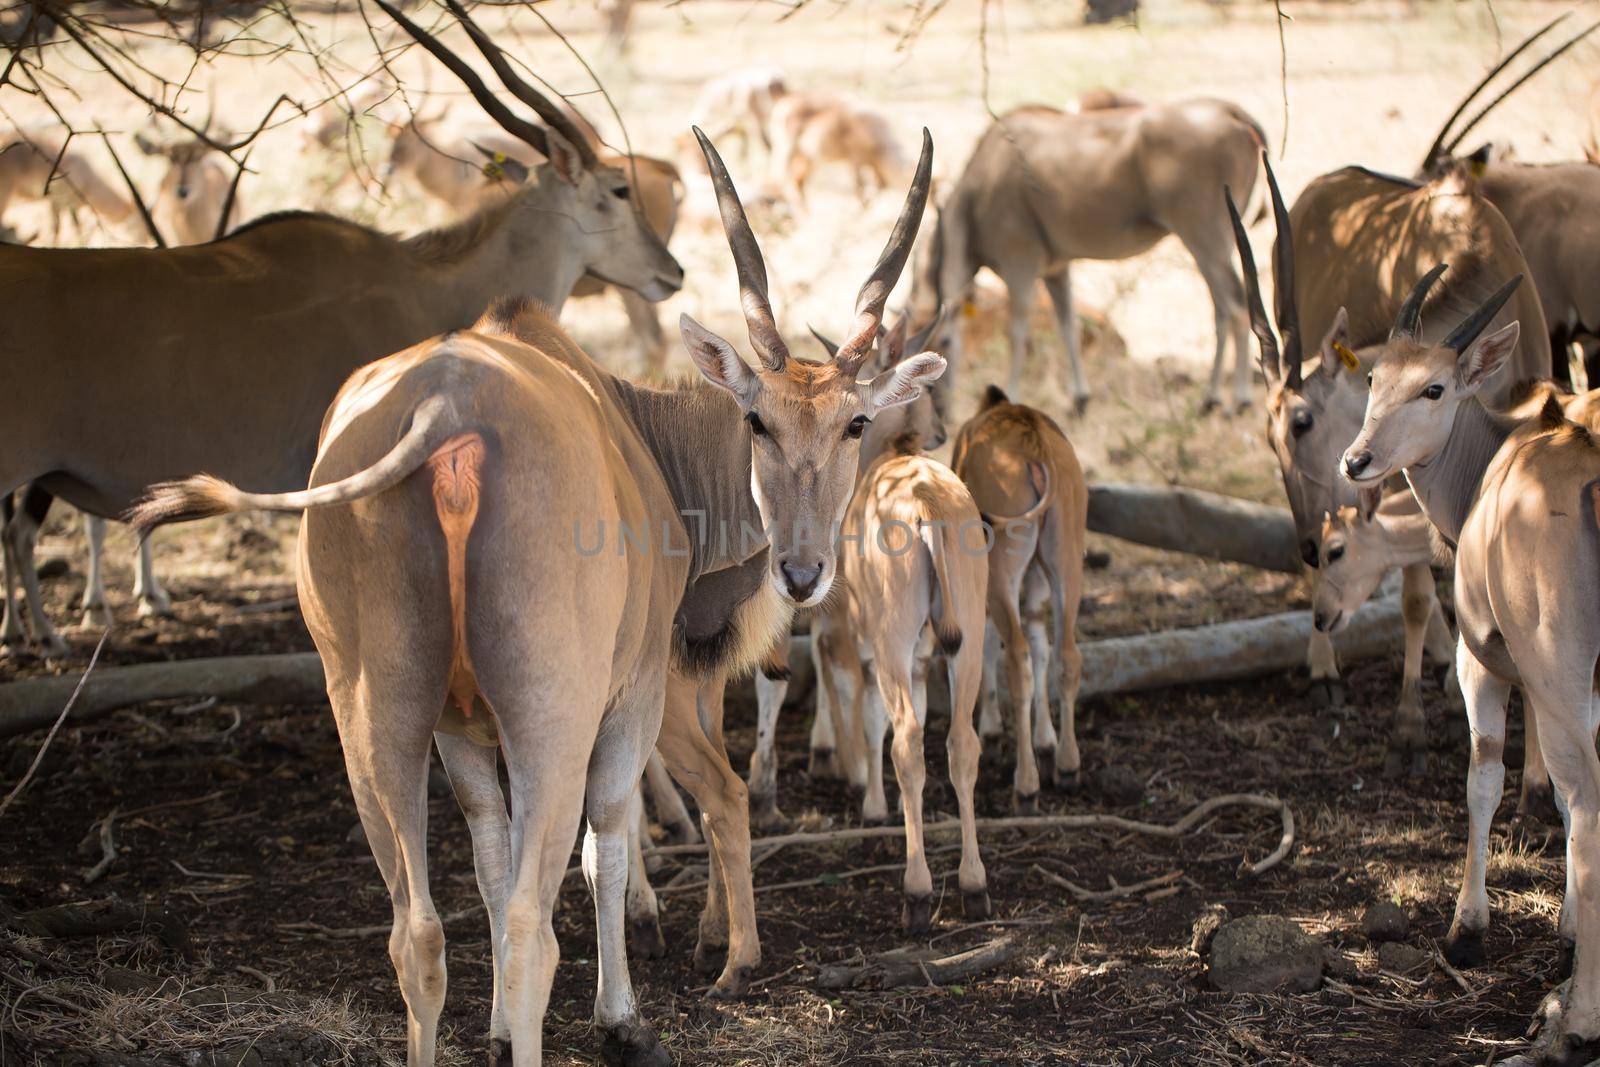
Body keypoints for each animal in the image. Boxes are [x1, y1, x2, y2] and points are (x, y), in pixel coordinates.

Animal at [134, 115, 934, 1067]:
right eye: (757, 420)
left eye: (854, 421)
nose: (803, 570)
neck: (637, 428)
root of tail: (441, 408)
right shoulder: (628, 698)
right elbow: (607, 846)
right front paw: (621, 1015)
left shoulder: (463, 735)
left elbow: (488, 858)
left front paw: (493, 1028)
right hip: (552, 713)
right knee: (530, 925)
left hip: (374, 713)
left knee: (417, 928)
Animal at [915, 97, 1273, 412]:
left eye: (943, 342)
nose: (941, 409)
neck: (980, 185)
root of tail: (1232, 114)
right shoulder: (1056, 270)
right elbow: (1068, 325)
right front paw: (1080, 399)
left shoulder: (1021, 264)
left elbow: (1017, 331)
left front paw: (1011, 396)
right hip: (1212, 245)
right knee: (1221, 309)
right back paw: (1210, 399)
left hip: (1205, 240)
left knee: (1236, 307)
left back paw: (1238, 400)